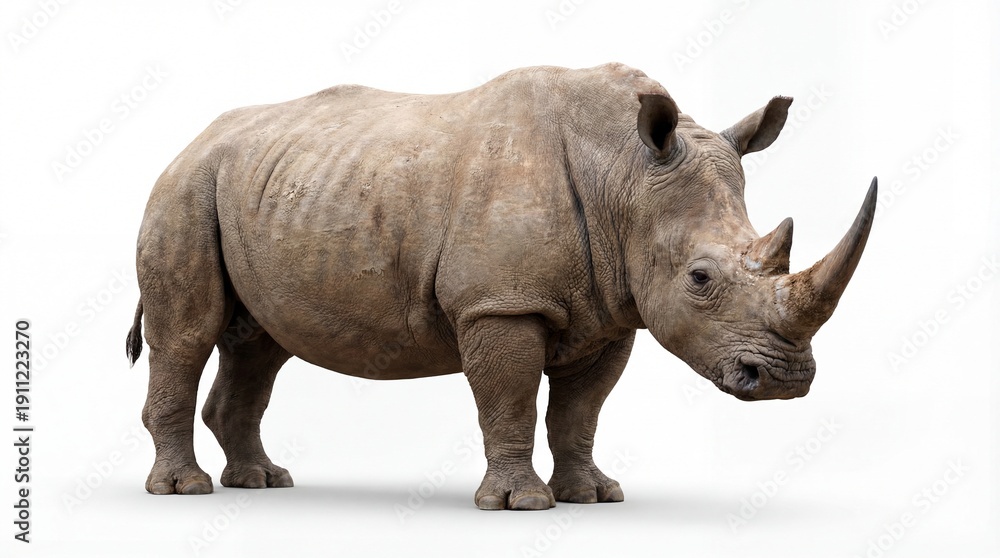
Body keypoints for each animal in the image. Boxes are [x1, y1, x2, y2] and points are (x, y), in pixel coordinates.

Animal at [125, 62, 875, 510]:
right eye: (700, 278)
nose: (785, 381)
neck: (626, 175)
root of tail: (189, 143)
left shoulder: (611, 311)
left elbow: (580, 410)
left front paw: (593, 496)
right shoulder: (501, 305)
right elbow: (510, 398)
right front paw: (521, 504)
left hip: (265, 188)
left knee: (261, 346)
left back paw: (263, 482)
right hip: (184, 191)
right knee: (186, 335)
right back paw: (184, 491)